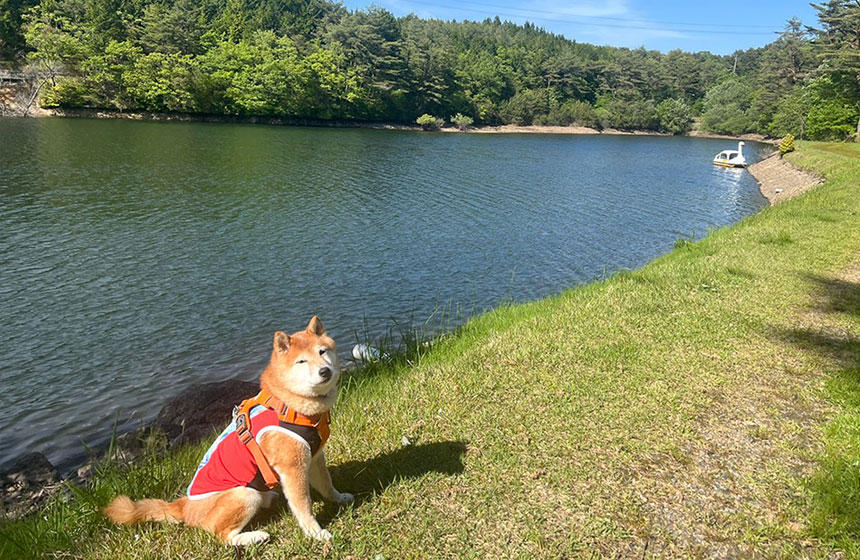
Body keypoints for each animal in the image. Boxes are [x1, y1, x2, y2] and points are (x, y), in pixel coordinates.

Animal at [104, 318, 352, 544]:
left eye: (322, 351)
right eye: (301, 361)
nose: (324, 371)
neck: (288, 405)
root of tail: (183, 506)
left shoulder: (315, 457)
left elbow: (327, 485)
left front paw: (339, 498)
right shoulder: (293, 468)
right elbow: (303, 506)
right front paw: (316, 532)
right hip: (244, 494)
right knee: (221, 535)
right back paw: (253, 537)